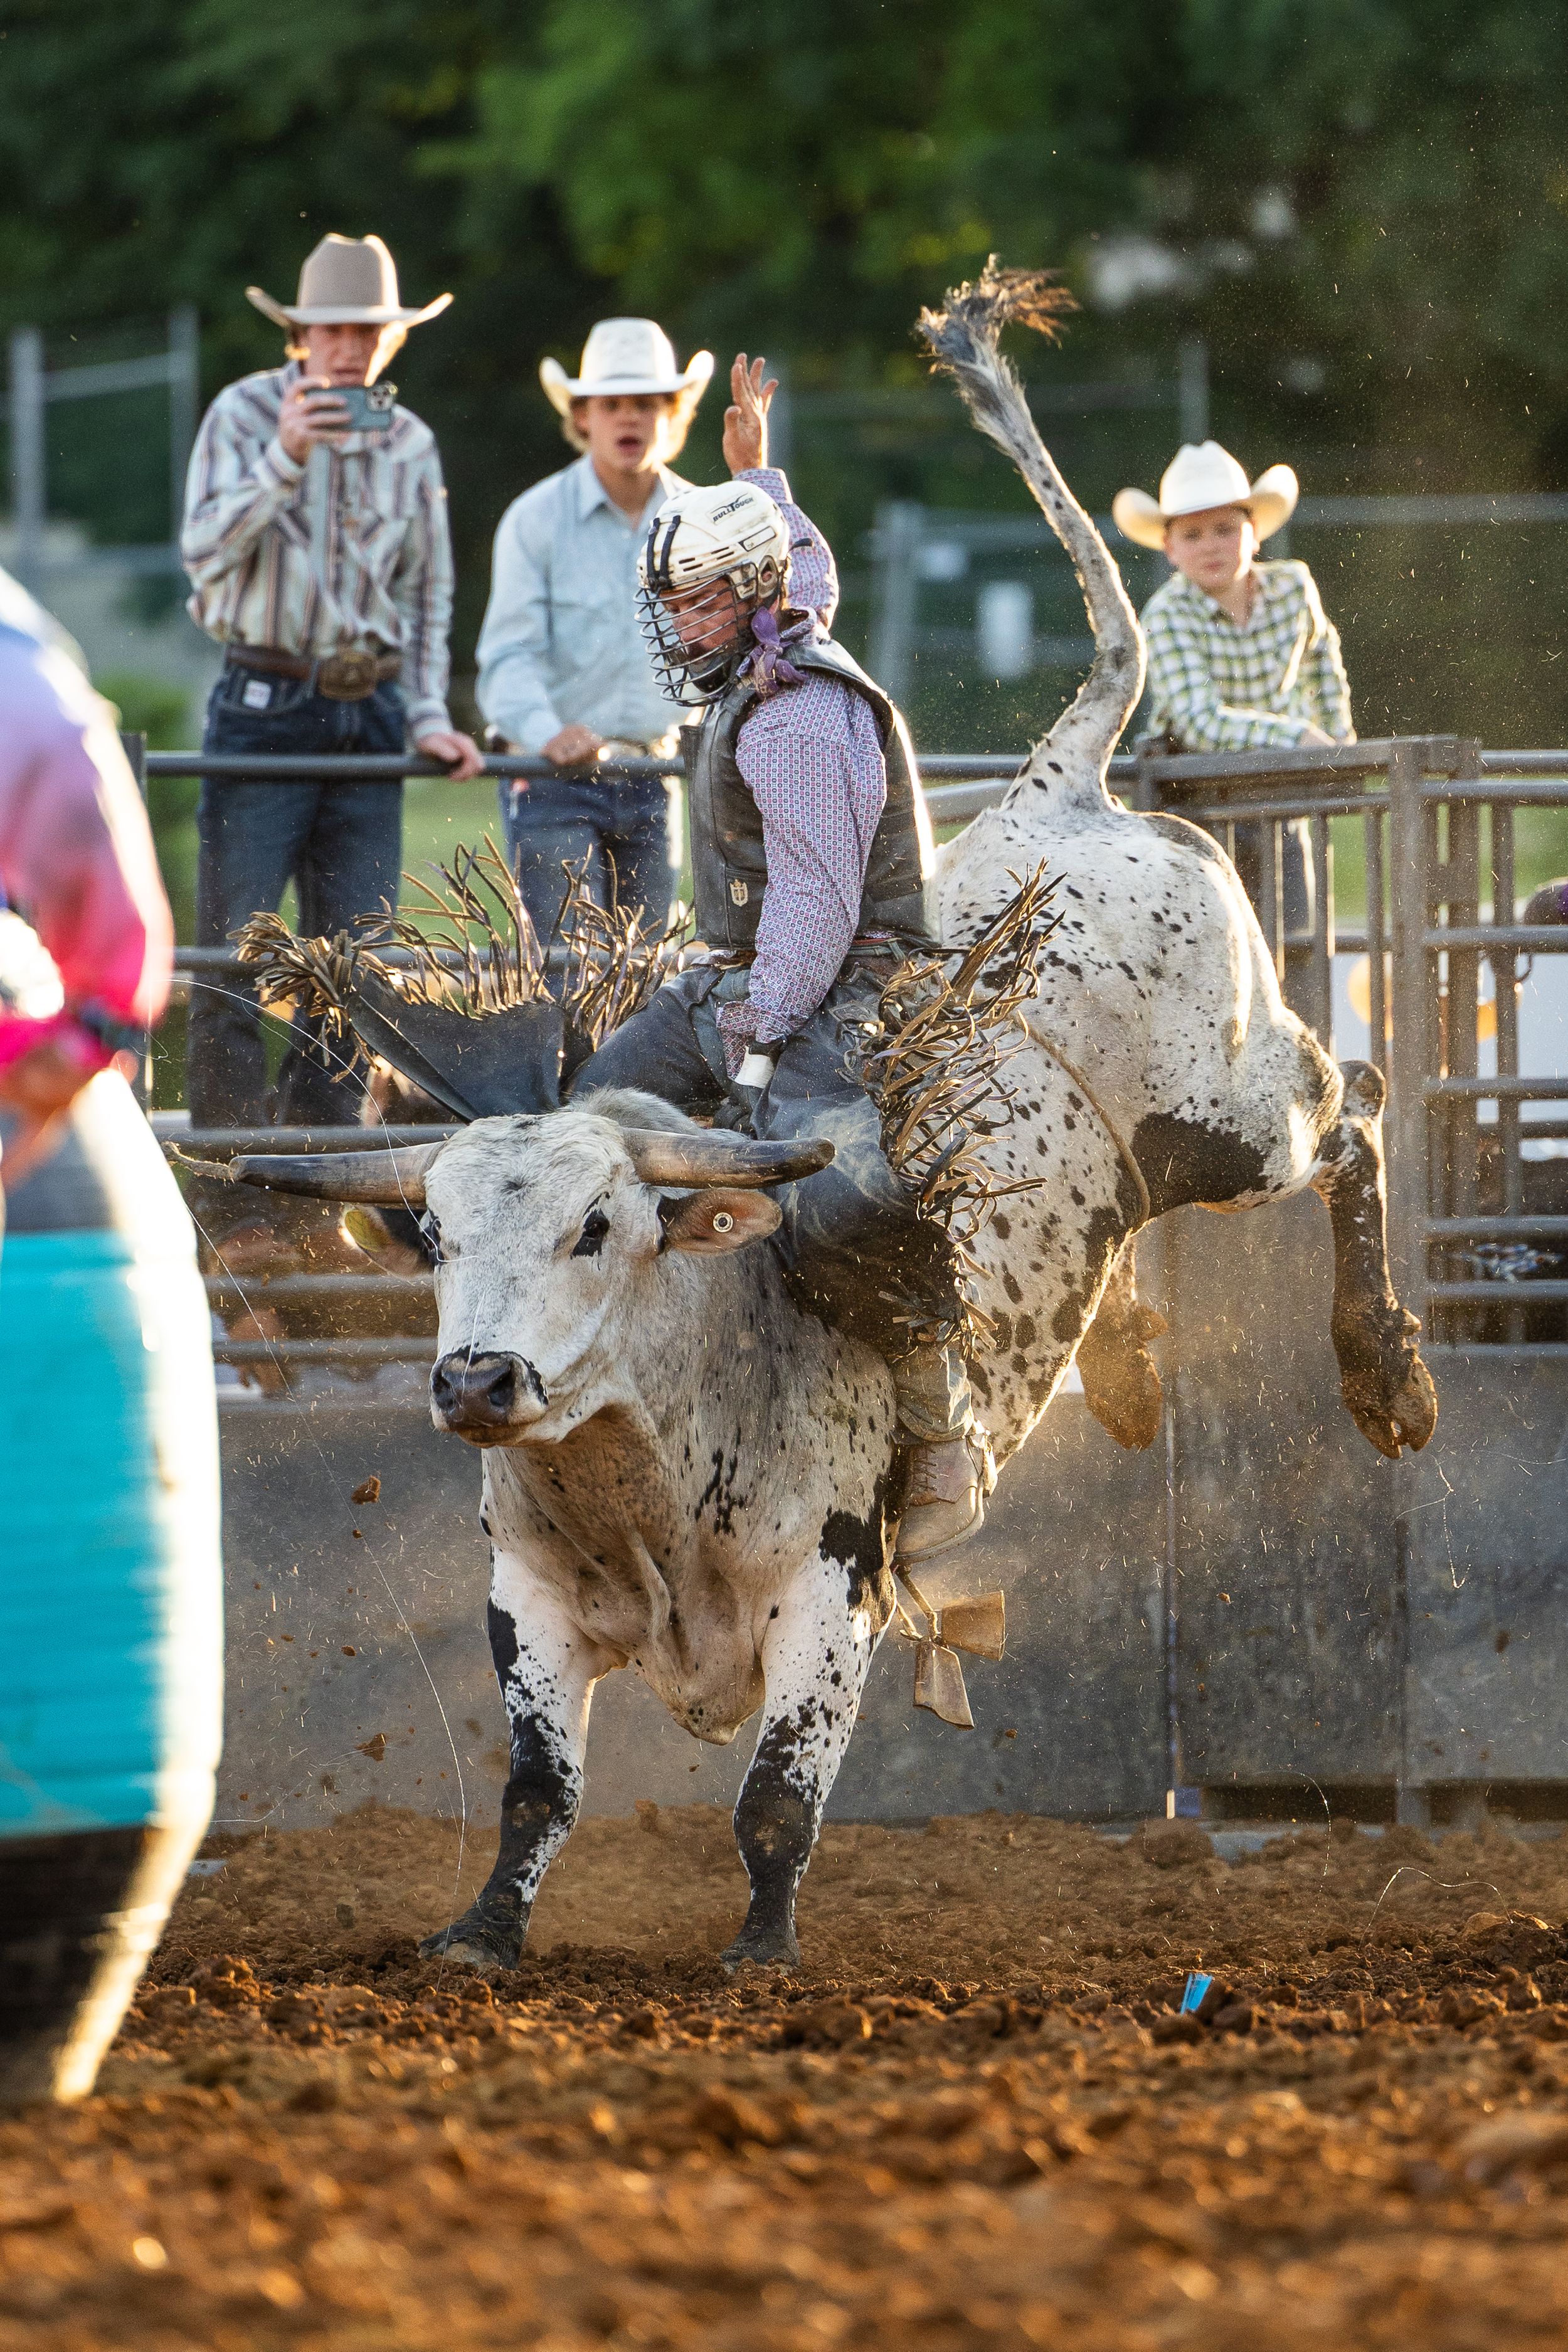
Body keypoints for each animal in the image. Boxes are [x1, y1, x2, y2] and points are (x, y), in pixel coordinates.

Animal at [218, 264, 1434, 1976]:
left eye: (600, 1226)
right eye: (436, 1235)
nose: (473, 1378)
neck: (651, 1446)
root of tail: (1062, 787)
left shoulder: (831, 1589)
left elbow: (777, 1794)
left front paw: (760, 1949)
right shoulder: (528, 1595)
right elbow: (535, 1784)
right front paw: (478, 1933)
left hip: (1227, 1109)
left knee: (1356, 1112)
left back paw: (1384, 1371)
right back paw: (1133, 1363)